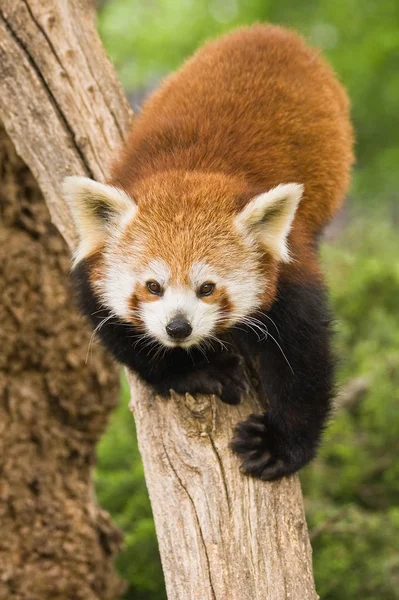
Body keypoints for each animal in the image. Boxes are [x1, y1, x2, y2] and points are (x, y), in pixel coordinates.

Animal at [62, 25, 354, 480]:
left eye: (207, 288)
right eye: (153, 286)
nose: (178, 328)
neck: (193, 170)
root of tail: (271, 32)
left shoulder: (289, 266)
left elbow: (303, 360)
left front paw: (278, 445)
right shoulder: (94, 265)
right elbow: (119, 333)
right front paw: (199, 372)